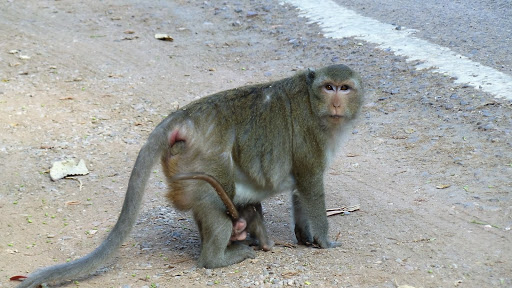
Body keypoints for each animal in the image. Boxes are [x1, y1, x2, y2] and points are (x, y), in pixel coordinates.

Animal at [17, 64, 364, 286]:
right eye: (329, 87)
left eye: (344, 88)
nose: (336, 101)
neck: (315, 106)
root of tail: (183, 116)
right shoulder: (311, 138)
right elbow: (310, 185)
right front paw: (325, 240)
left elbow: (299, 192)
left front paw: (305, 237)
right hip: (199, 164)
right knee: (218, 204)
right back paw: (220, 257)